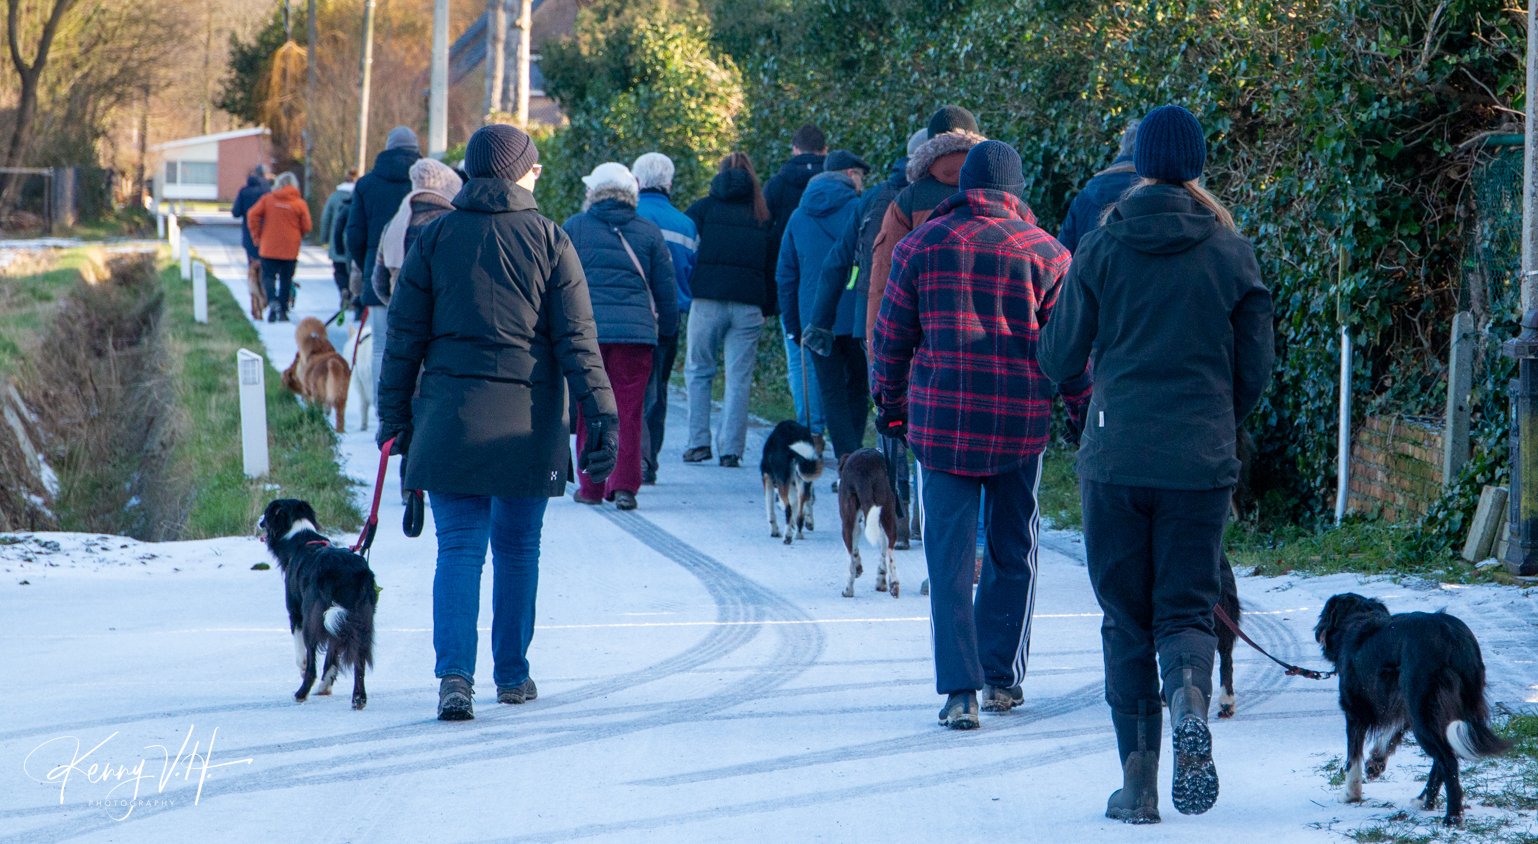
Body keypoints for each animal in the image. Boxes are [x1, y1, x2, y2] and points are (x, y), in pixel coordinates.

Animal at [259, 498, 377, 710]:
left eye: (267, 514)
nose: (259, 522)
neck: (300, 538)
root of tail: (348, 572)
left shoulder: (296, 612)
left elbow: (302, 654)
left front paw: (304, 668)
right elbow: (332, 655)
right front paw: (325, 686)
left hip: (315, 616)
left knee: (313, 662)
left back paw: (301, 693)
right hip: (361, 618)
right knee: (359, 661)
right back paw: (358, 699)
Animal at [837, 448, 899, 598]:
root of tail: (864, 470)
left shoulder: (856, 524)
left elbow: (855, 551)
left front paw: (859, 568)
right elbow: (882, 551)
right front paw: (881, 581)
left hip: (846, 522)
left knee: (850, 559)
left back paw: (848, 590)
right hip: (887, 511)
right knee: (889, 549)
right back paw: (893, 584)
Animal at [1315, 593, 1511, 825]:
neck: (1358, 618)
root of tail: (1453, 637)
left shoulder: (1355, 712)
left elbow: (1352, 759)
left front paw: (1350, 795)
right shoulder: (1403, 702)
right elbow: (1392, 731)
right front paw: (1375, 762)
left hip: (1423, 709)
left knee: (1448, 760)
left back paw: (1452, 817)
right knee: (1444, 757)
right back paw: (1425, 801)